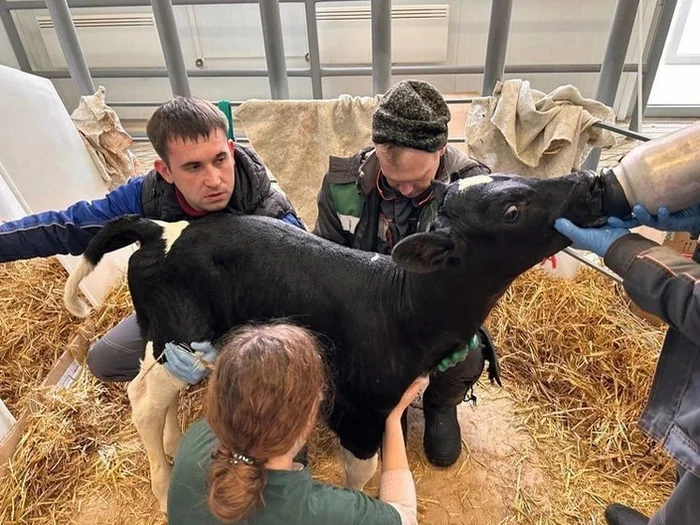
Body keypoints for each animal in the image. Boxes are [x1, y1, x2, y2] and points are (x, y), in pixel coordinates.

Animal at [63, 171, 608, 508]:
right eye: (511, 210)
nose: (589, 182)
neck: (405, 305)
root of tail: (162, 227)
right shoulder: (359, 409)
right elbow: (362, 473)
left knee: (159, 398)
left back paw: (174, 446)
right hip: (178, 336)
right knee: (142, 398)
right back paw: (161, 487)